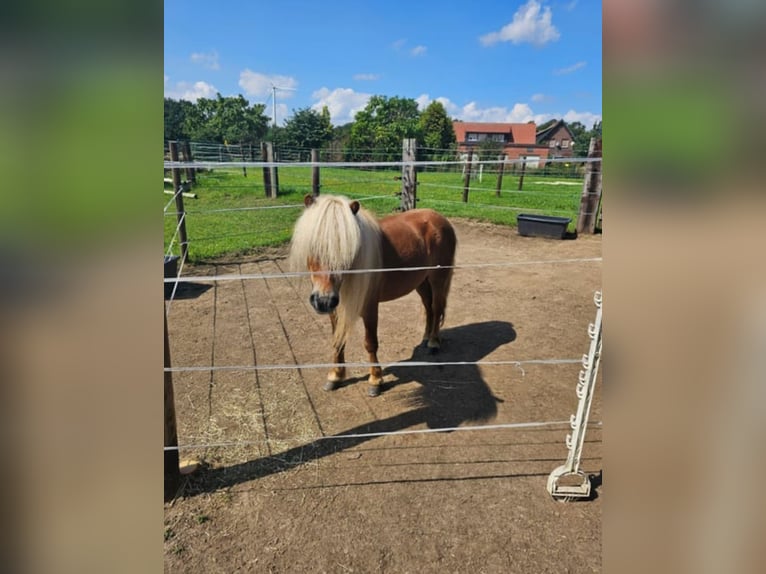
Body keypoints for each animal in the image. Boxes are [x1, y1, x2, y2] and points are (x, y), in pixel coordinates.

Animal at [288, 196, 456, 398]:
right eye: (312, 246)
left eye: (347, 251)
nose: (323, 301)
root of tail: (439, 218)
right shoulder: (335, 309)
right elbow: (337, 340)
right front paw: (335, 376)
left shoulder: (369, 309)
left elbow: (370, 343)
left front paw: (375, 380)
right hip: (421, 281)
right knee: (428, 307)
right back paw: (425, 338)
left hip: (438, 278)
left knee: (437, 308)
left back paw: (433, 342)